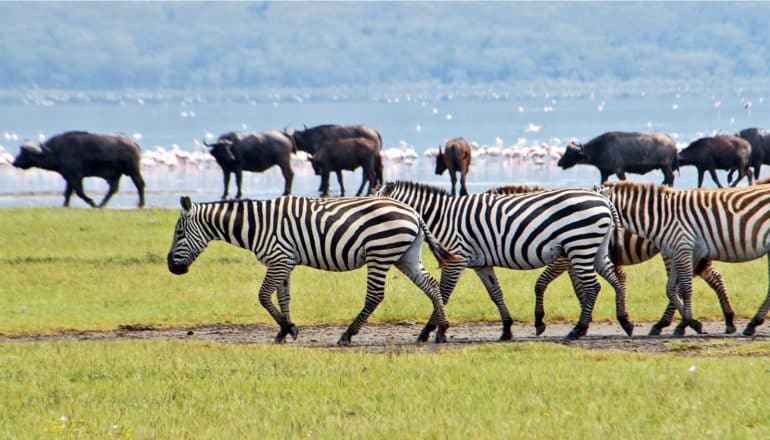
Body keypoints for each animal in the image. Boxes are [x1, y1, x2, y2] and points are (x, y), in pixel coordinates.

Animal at [12, 131, 145, 208]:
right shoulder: (69, 178)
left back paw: (140, 204)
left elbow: (79, 192)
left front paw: (91, 202)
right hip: (116, 175)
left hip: (133, 171)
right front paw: (65, 205)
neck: (56, 151)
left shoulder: (76, 177)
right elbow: (67, 193)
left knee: (139, 184)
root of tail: (133, 144)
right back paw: (102, 204)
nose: (14, 162)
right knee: (113, 189)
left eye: (25, 153)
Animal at [166, 195, 456, 344]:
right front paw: (283, 331)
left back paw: (347, 335)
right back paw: (441, 330)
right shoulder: (284, 262)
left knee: (375, 296)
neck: (255, 225)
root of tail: (413, 212)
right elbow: (283, 297)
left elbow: (263, 296)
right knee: (431, 285)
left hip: (380, 252)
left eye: (179, 233)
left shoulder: (279, 258)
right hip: (405, 255)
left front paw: (289, 328)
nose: (171, 267)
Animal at [376, 180, 628, 338]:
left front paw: (432, 330)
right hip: (593, 247)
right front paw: (506, 329)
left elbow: (443, 294)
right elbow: (495, 293)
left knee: (593, 287)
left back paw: (578, 329)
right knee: (616, 278)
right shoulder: (481, 263)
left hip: (580, 244)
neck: (441, 217)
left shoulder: (456, 259)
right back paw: (625, 322)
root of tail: (603, 199)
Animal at [486, 184, 732, 336]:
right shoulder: (573, 258)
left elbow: (542, 283)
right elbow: (581, 289)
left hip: (672, 252)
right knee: (711, 277)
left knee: (687, 283)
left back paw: (671, 324)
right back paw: (719, 321)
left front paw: (544, 322)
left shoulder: (564, 258)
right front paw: (585, 320)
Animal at [600, 180, 768, 336]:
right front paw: (691, 322)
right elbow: (670, 288)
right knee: (714, 277)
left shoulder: (682, 248)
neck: (660, 216)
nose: (614, 244)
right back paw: (733, 320)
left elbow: (684, 288)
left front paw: (689, 322)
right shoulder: (680, 251)